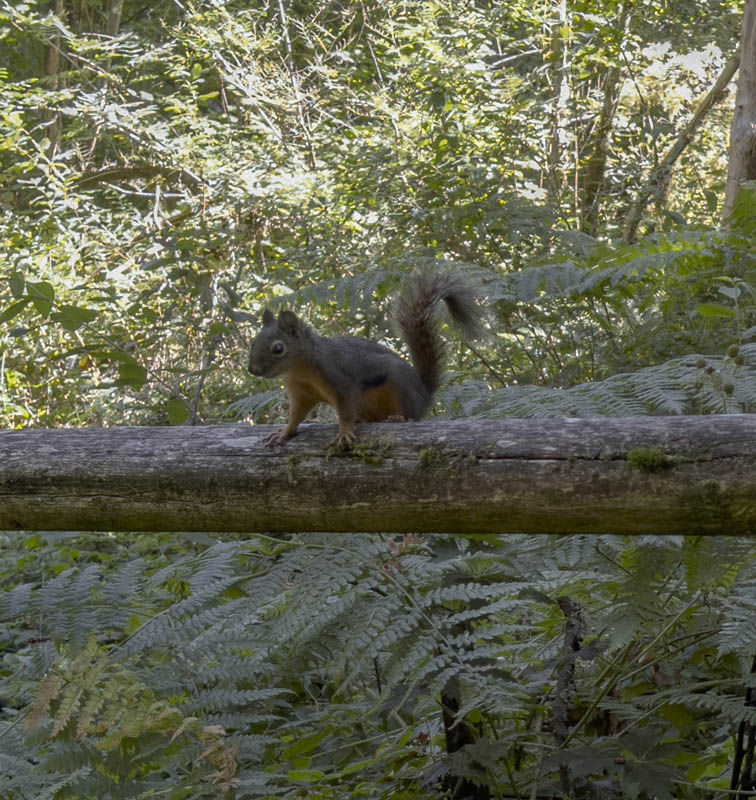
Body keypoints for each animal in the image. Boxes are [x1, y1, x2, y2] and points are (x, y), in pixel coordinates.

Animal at [248, 272, 481, 449]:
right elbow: (296, 415)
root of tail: (424, 397)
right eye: (253, 341)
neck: (301, 369)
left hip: (401, 386)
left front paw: (345, 433)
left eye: (278, 348)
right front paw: (284, 433)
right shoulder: (301, 393)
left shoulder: (340, 380)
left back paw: (397, 418)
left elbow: (345, 412)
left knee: (409, 415)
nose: (253, 370)